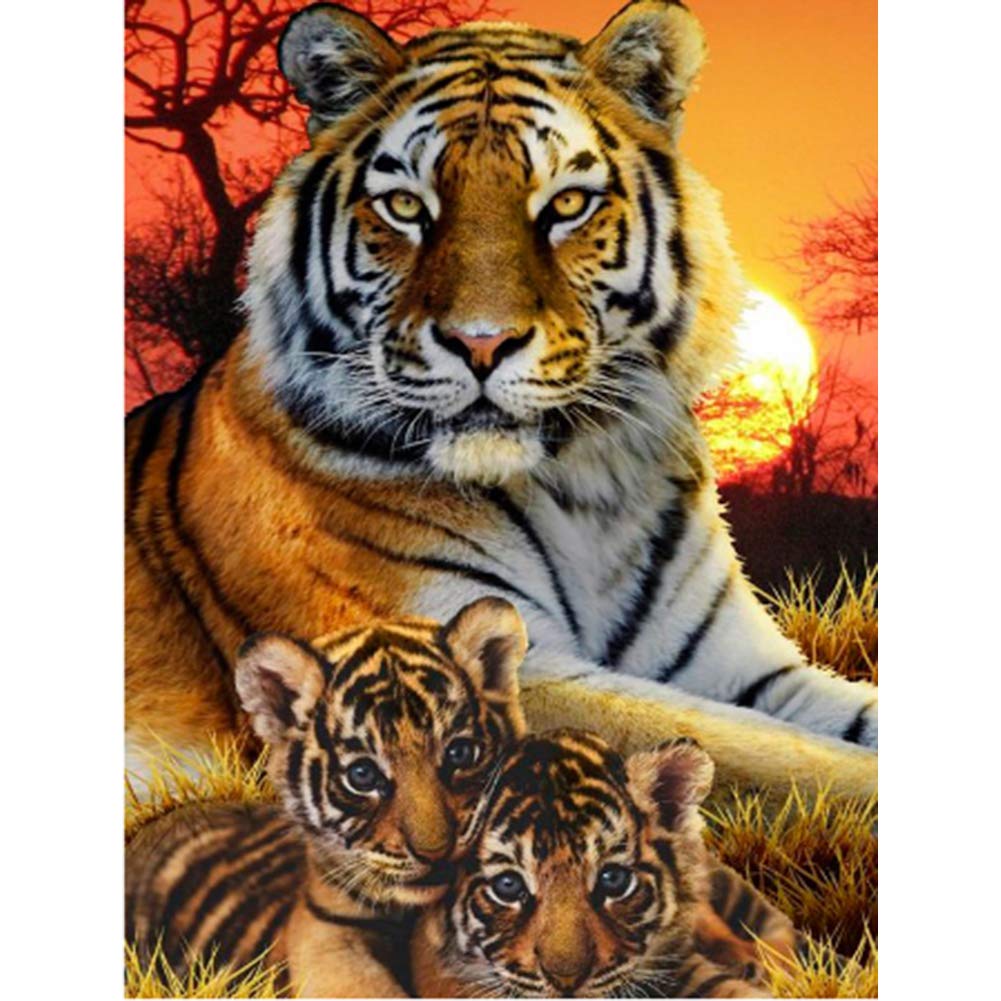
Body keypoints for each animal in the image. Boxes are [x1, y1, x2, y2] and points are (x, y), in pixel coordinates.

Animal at [125, 0, 877, 801]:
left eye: (567, 204)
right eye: (405, 206)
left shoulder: (742, 665)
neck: (588, 490)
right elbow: (781, 757)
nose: (480, 342)